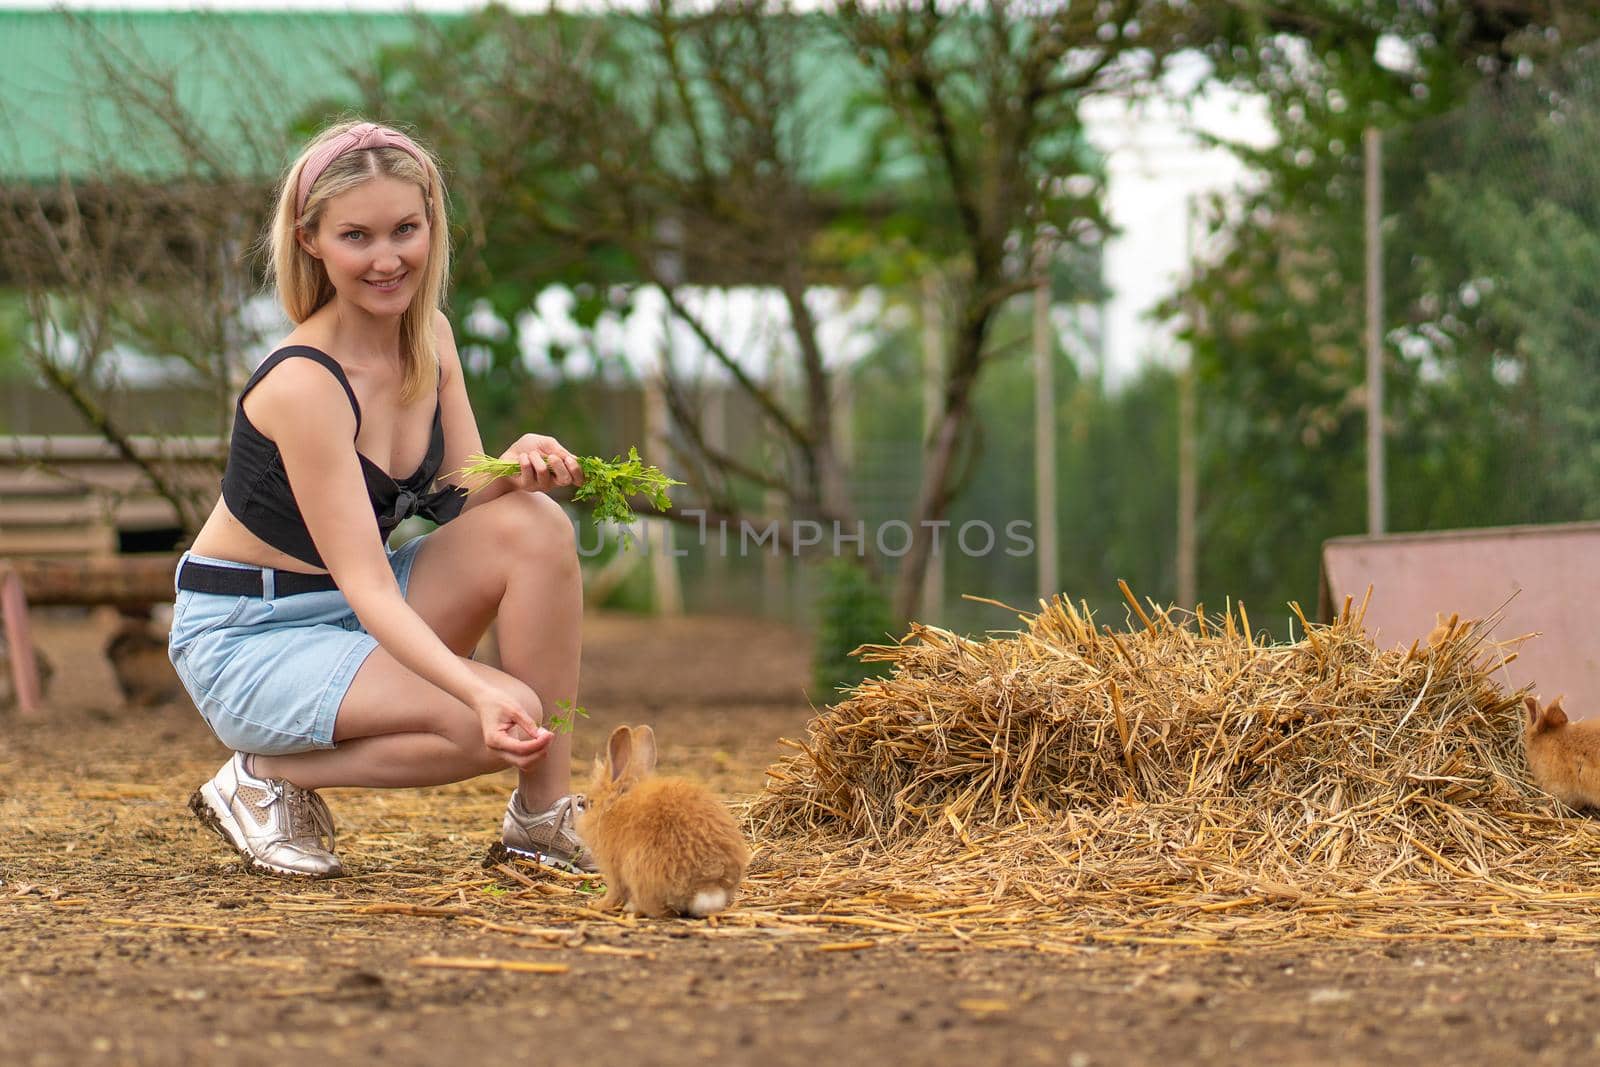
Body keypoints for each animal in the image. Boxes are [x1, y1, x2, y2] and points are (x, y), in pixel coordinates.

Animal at [576, 726, 748, 921]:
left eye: (591, 803)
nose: (580, 804)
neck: (614, 807)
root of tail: (707, 886)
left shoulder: (613, 869)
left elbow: (614, 893)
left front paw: (597, 905)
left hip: (637, 870)